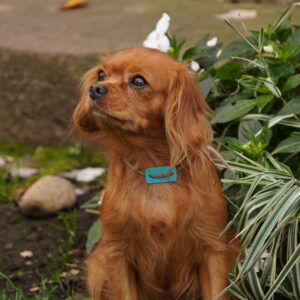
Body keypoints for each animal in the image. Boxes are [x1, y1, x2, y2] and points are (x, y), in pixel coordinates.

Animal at [73, 48, 239, 298]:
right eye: (101, 74)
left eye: (138, 81)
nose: (95, 88)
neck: (154, 169)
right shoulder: (116, 252)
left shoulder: (213, 248)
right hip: (97, 266)